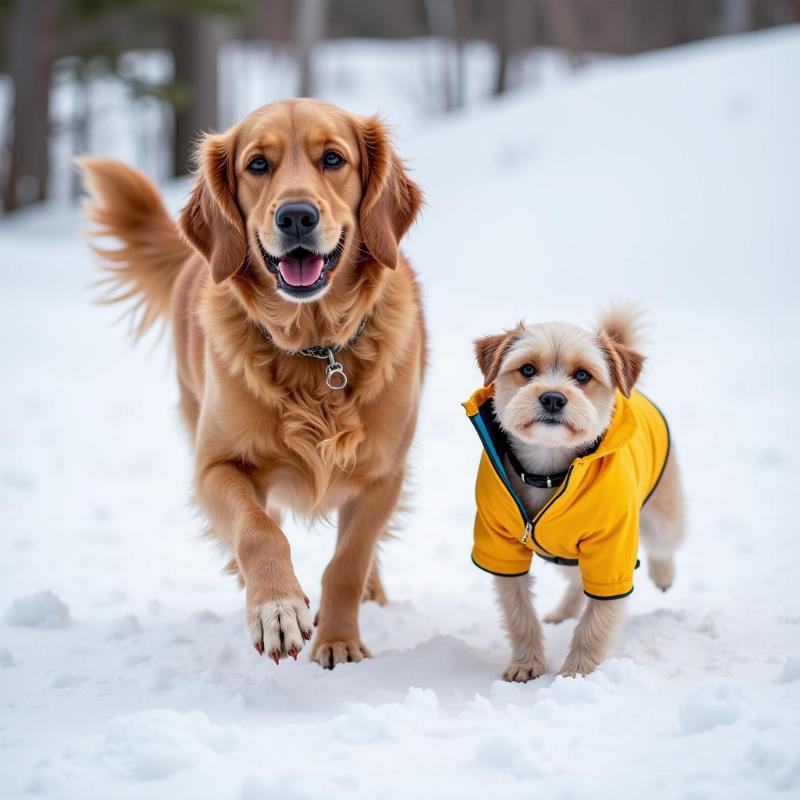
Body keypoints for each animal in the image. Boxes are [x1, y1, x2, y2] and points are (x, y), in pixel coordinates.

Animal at [468, 310, 688, 680]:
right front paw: (526, 664)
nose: (553, 398)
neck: (549, 472)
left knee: (664, 546)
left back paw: (663, 576)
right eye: (528, 369)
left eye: (583, 375)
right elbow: (519, 614)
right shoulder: (500, 548)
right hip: (562, 553)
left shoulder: (613, 555)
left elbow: (596, 622)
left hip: (660, 512)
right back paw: (563, 611)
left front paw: (576, 674)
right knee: (575, 581)